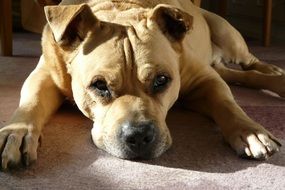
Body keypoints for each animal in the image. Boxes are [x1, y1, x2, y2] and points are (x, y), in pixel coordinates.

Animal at [0, 0, 282, 169]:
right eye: (99, 85)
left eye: (162, 80)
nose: (138, 136)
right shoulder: (45, 74)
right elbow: (31, 102)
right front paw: (17, 133)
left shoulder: (204, 79)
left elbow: (227, 103)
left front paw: (250, 132)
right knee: (235, 74)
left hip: (227, 33)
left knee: (247, 63)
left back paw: (273, 72)